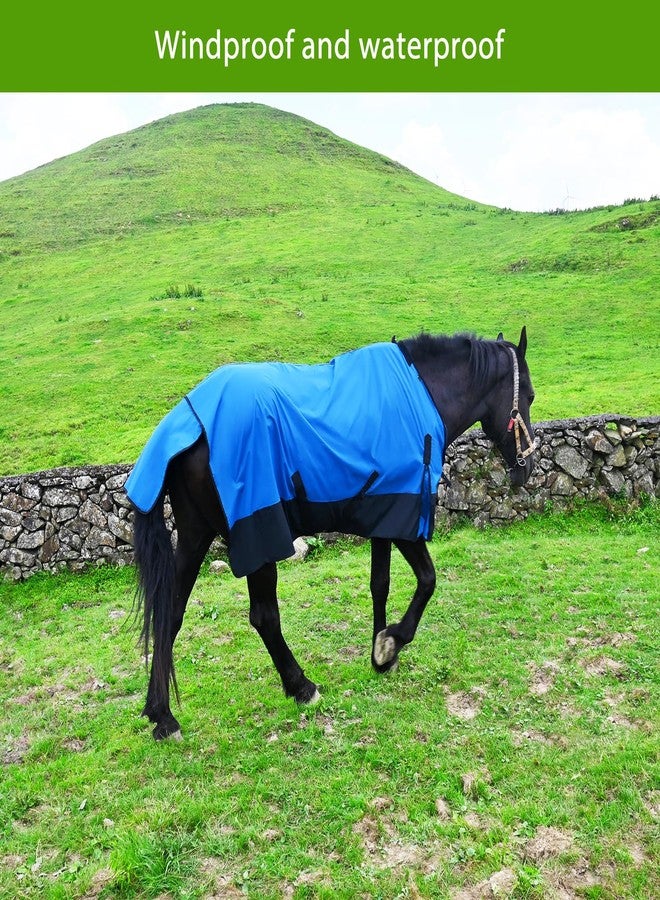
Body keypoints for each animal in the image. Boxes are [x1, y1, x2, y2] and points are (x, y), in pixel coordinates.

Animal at [127, 329, 537, 740]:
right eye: (530, 396)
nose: (527, 468)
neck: (418, 394)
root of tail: (189, 421)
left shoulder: (383, 516)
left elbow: (380, 584)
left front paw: (380, 654)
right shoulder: (404, 519)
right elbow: (427, 581)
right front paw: (393, 641)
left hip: (194, 537)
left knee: (170, 614)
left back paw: (162, 715)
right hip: (258, 539)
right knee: (263, 617)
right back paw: (300, 687)